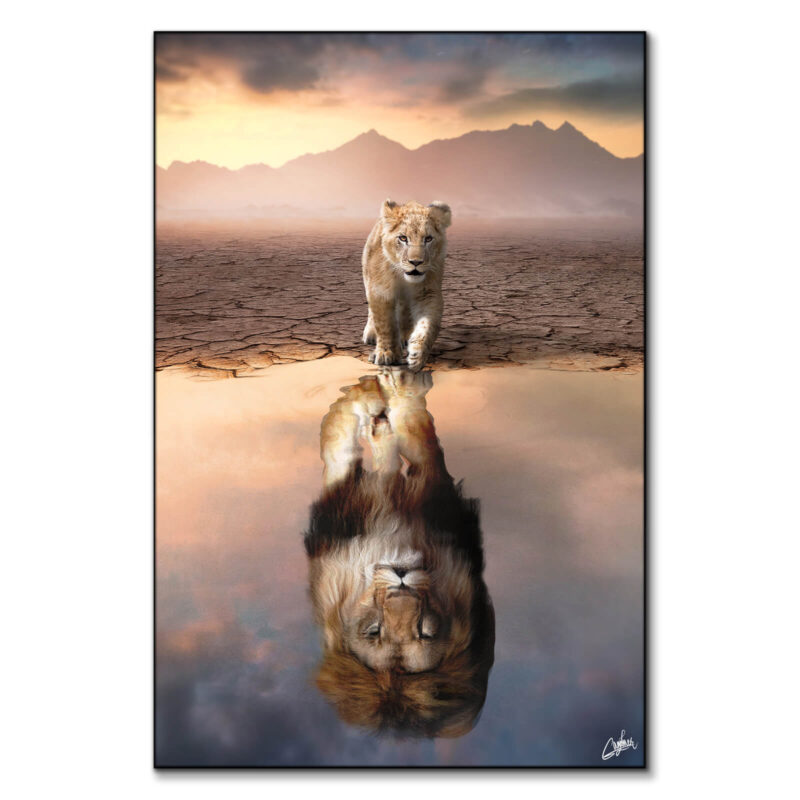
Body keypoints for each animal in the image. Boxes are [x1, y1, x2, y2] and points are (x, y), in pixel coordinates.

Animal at [304, 368, 494, 738]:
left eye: (426, 631)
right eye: (374, 631)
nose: (401, 579)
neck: (394, 538)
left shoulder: (438, 495)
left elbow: (416, 429)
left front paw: (401, 392)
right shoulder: (341, 509)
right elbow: (337, 441)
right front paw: (362, 398)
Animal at [362, 200, 452, 371]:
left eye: (428, 239)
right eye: (403, 238)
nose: (416, 262)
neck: (402, 277)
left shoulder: (428, 293)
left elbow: (428, 325)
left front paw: (417, 354)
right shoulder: (380, 291)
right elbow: (385, 324)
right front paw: (386, 353)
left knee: (405, 312)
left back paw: (405, 336)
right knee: (372, 311)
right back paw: (370, 334)